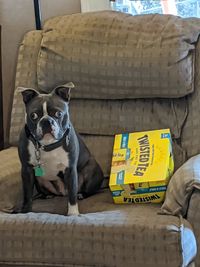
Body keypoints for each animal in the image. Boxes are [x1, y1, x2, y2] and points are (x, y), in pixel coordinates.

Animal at [17, 82, 104, 217]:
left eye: (58, 114)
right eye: (33, 115)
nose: (46, 121)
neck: (47, 145)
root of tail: (62, 192)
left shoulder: (70, 169)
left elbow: (72, 195)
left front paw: (73, 214)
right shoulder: (27, 170)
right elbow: (27, 195)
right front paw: (25, 212)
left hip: (91, 169)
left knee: (85, 190)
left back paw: (82, 194)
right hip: (39, 180)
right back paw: (46, 196)